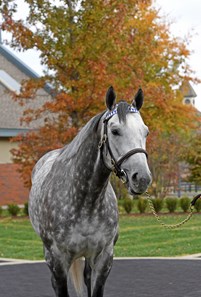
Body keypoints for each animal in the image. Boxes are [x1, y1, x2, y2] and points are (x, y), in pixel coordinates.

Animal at [28, 86, 152, 296]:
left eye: (146, 132)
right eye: (115, 131)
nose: (142, 178)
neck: (86, 202)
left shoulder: (104, 258)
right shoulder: (58, 261)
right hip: (50, 256)